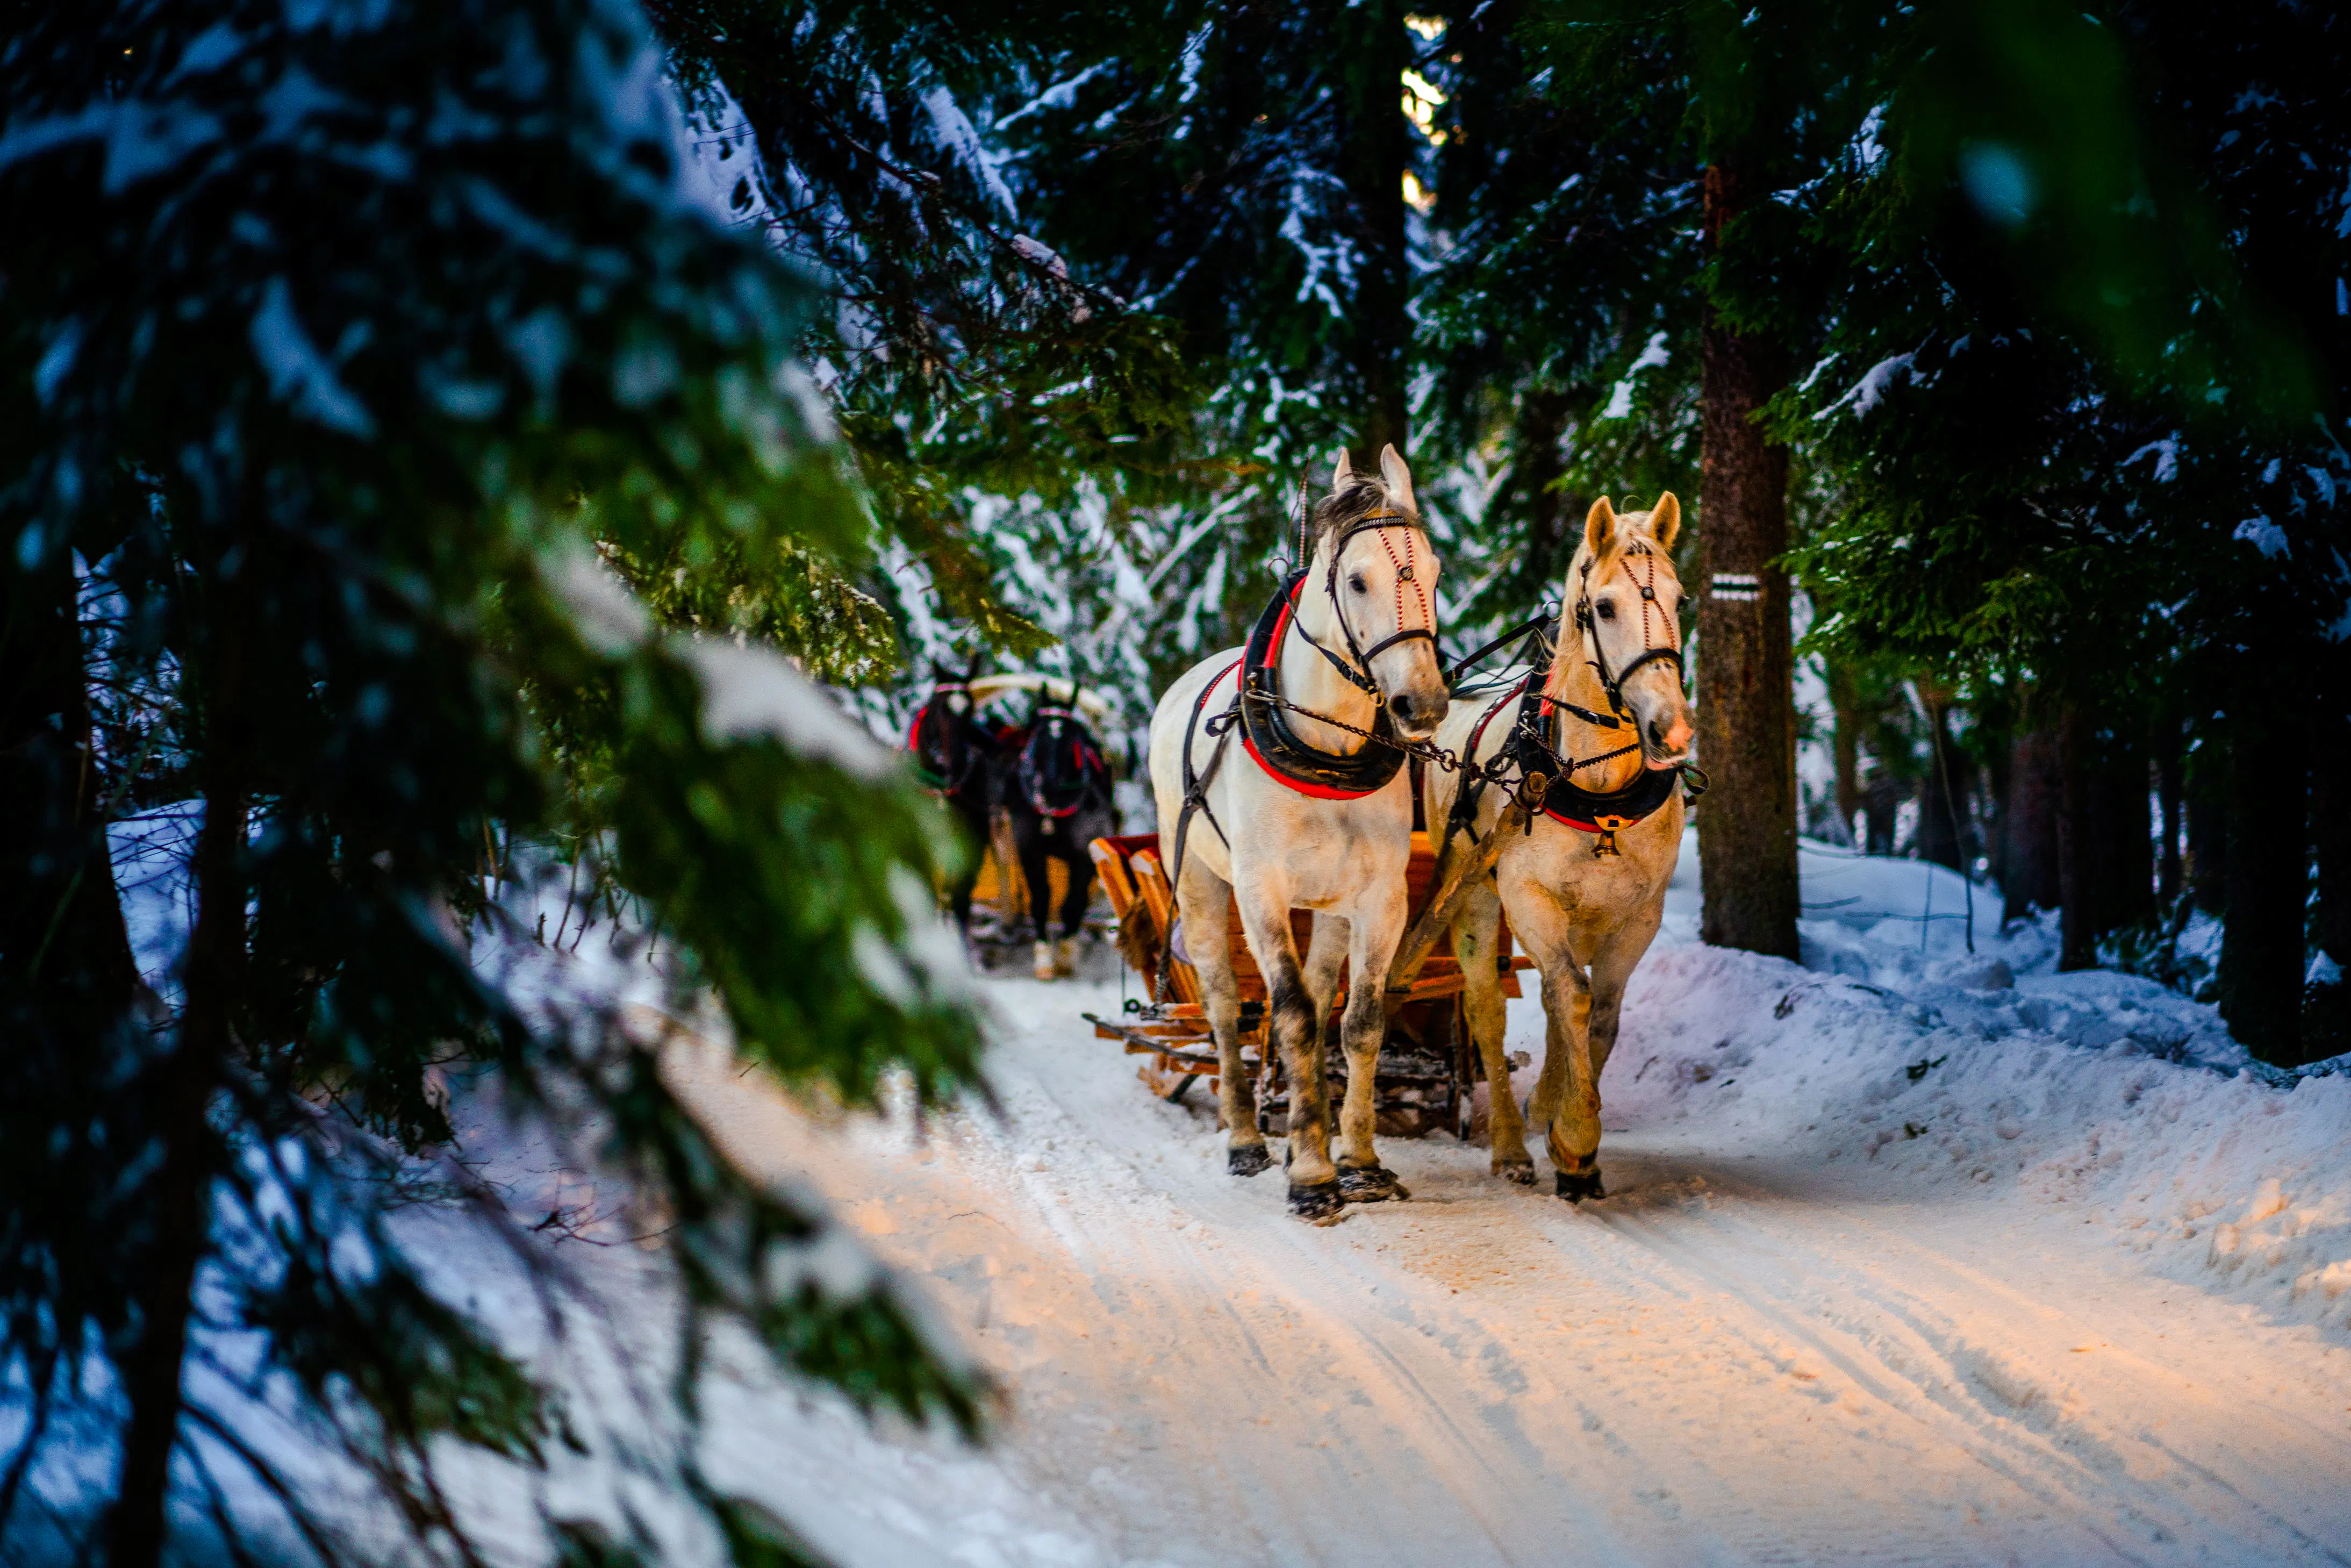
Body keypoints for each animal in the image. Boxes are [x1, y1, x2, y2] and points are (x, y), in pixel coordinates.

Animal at [1003, 684, 1119, 981]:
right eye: (1040, 735)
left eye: (1070, 740)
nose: (1050, 786)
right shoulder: (1030, 850)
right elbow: (1041, 898)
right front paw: (1044, 959)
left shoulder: (1084, 854)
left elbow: (1073, 903)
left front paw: (1065, 956)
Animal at [1146, 445, 1449, 1222]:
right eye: (1357, 579)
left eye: (1434, 572)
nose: (1423, 703)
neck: (1325, 750)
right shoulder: (1262, 892)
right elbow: (1287, 1015)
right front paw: (1311, 1175)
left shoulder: (1380, 900)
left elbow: (1358, 1022)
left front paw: (1358, 1161)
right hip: (1200, 883)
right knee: (1227, 1005)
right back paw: (1248, 1138)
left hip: (1329, 908)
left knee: (1318, 996)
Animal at [1425, 495, 1694, 1201]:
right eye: (1604, 606)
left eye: (1681, 599)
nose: (1672, 730)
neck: (1599, 785)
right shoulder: (1530, 897)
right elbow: (1568, 997)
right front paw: (1572, 1135)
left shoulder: (1638, 915)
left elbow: (1599, 1013)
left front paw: (1572, 1137)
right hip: (1473, 900)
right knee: (1490, 1011)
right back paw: (1511, 1147)